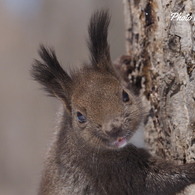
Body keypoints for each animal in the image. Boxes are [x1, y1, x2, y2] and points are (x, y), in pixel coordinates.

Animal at [31, 9, 195, 195]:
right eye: (79, 116)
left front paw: (123, 66)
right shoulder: (111, 170)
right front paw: (190, 169)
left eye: (125, 95)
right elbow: (153, 181)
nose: (114, 128)